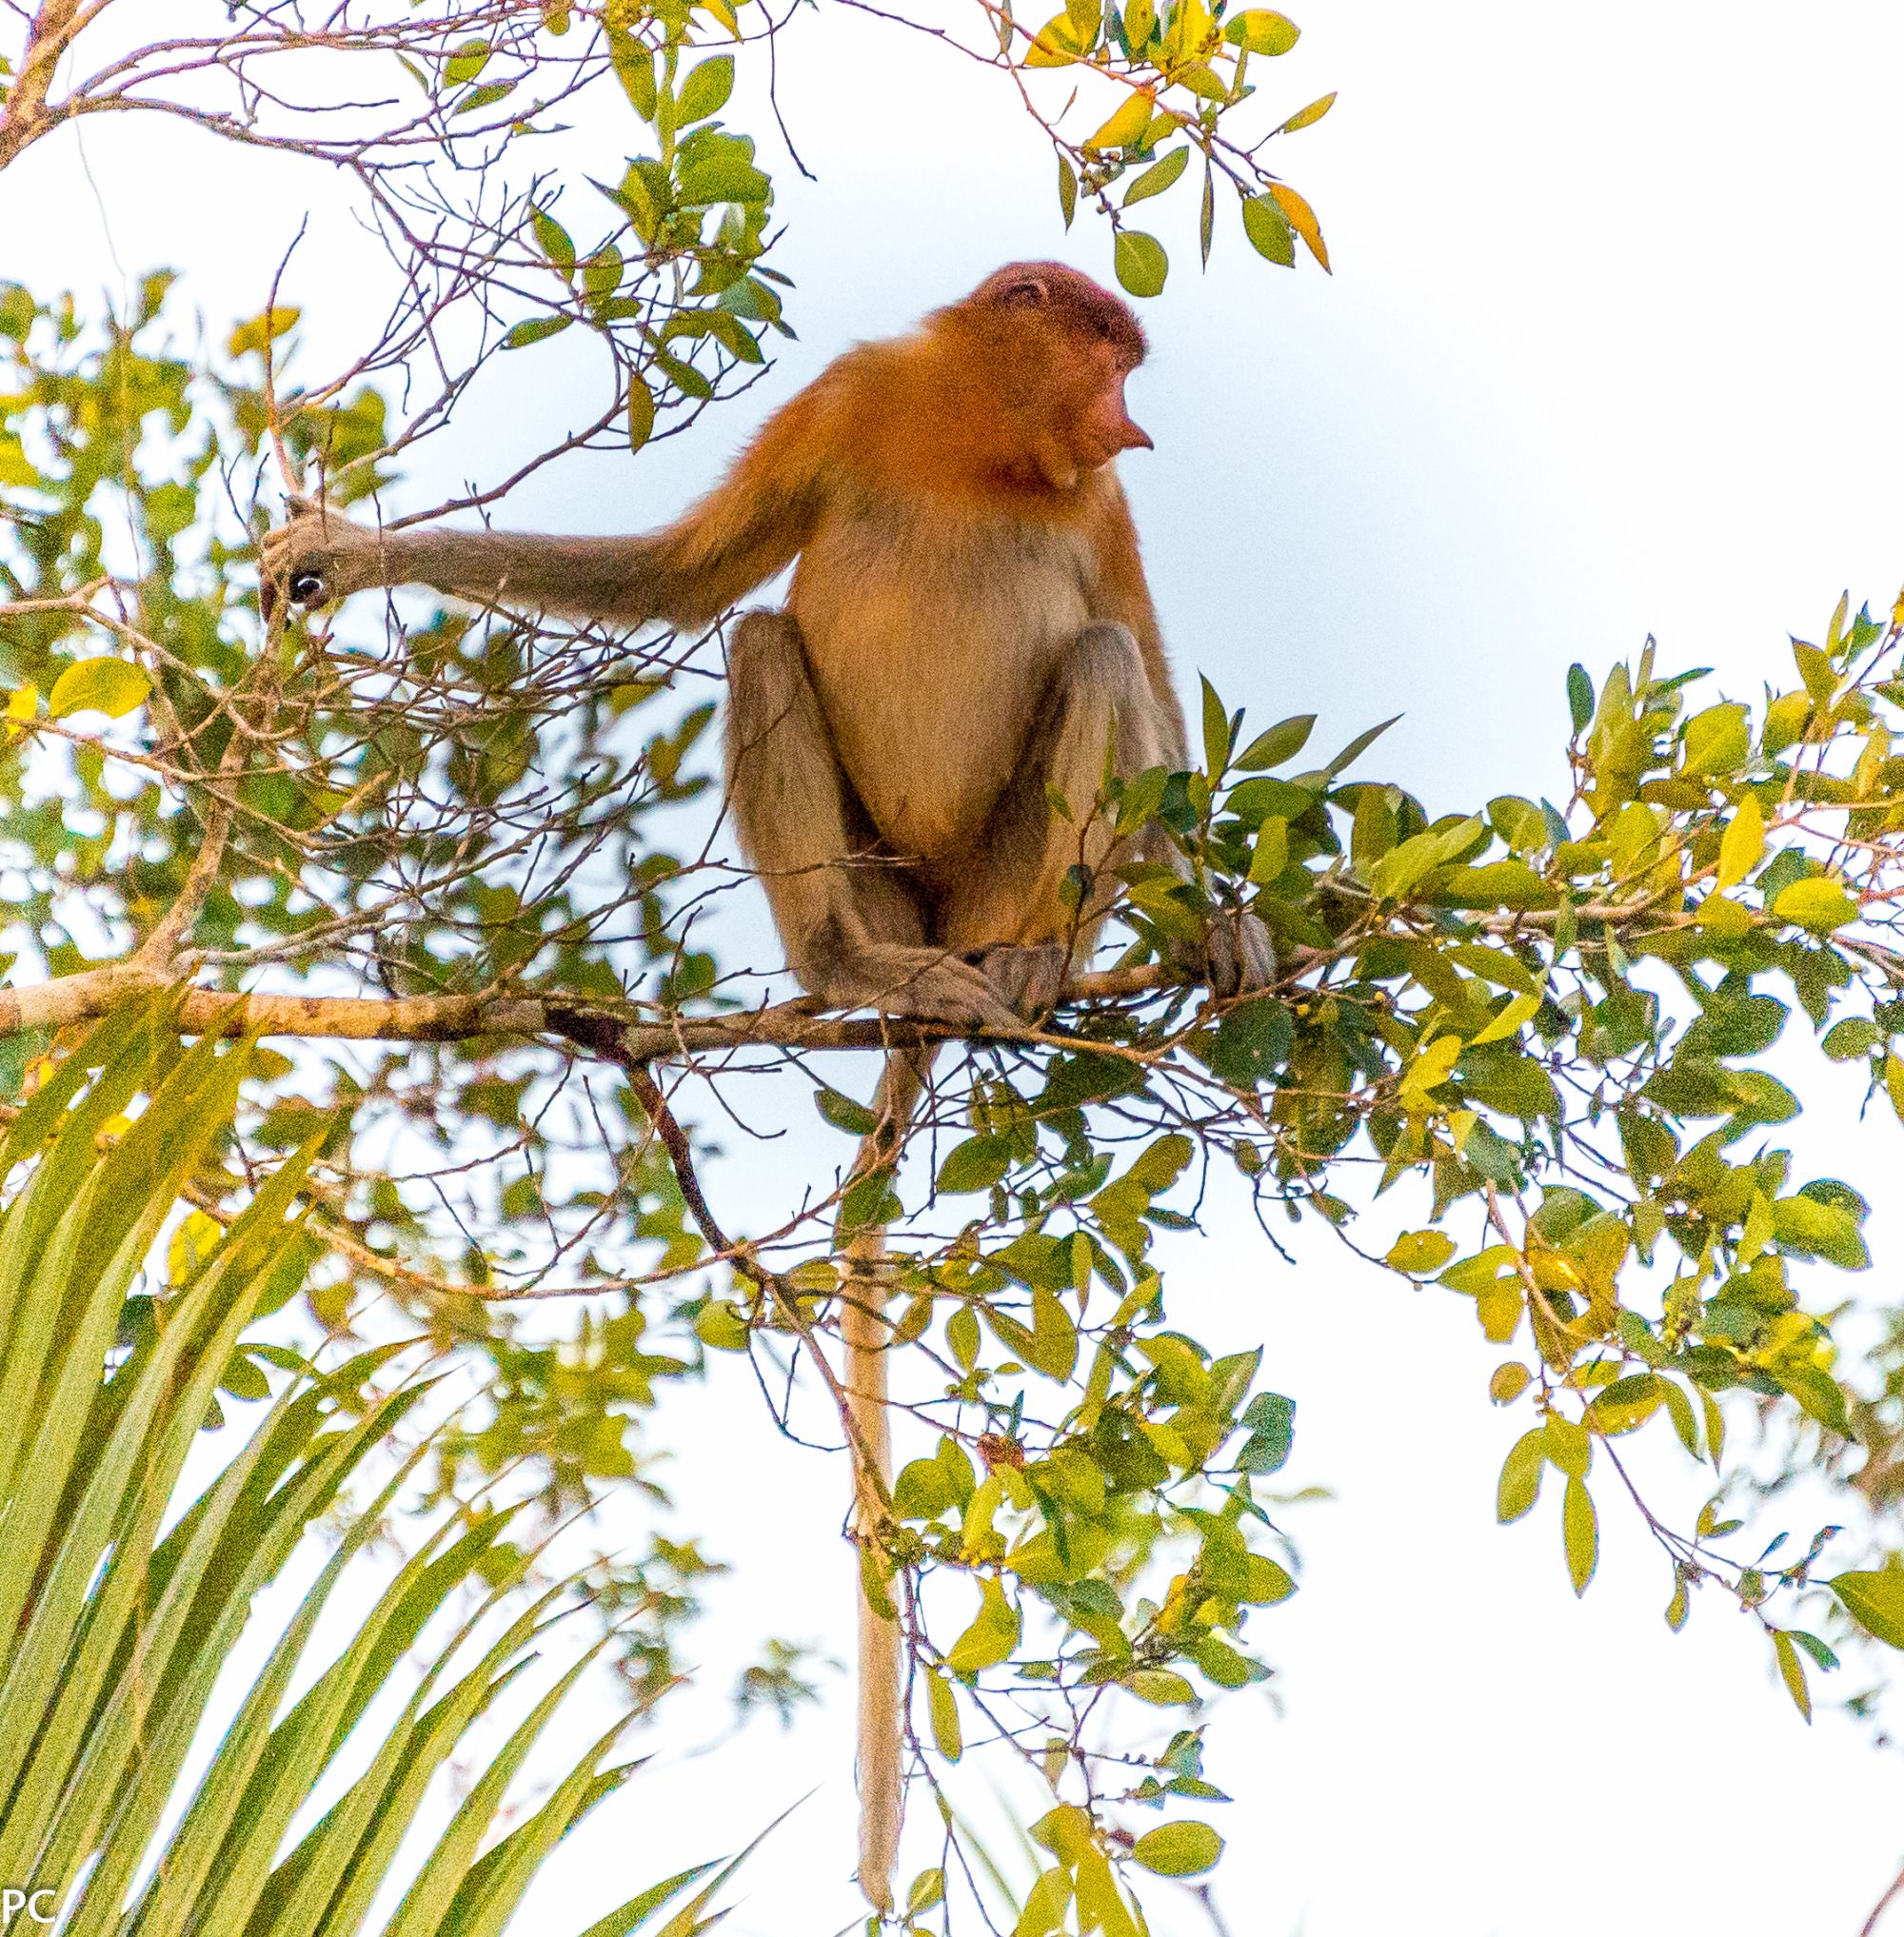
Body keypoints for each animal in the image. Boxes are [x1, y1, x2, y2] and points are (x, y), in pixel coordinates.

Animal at [263, 260, 1273, 1912]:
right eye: (1107, 347)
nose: (1132, 416)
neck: (981, 444)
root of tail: (940, 924)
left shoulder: (1099, 508)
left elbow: (1140, 671)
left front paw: (1226, 925)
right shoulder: (855, 400)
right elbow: (685, 578)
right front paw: (351, 553)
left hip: (1011, 876)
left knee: (1099, 663)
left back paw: (1023, 974)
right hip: (871, 870)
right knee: (753, 639)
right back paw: (860, 968)